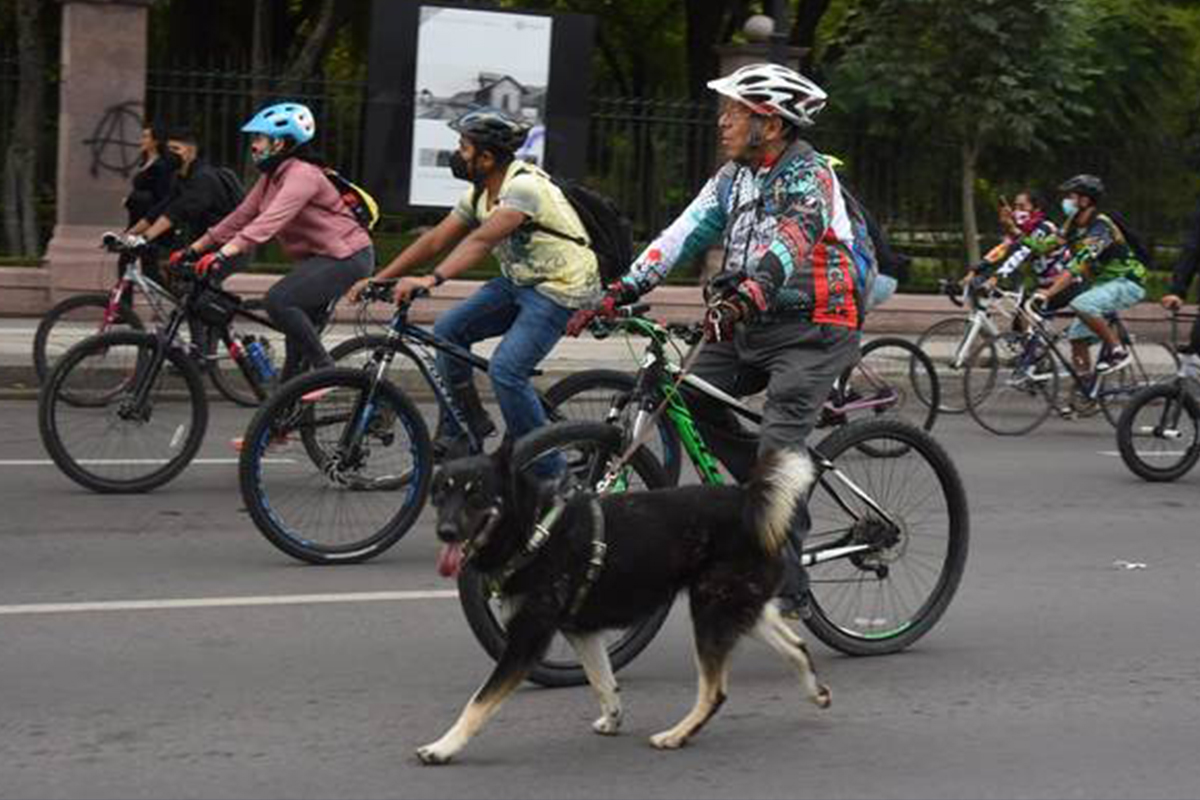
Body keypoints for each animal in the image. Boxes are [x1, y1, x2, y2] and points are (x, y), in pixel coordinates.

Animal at [417, 441, 830, 767]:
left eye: (475, 493)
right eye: (441, 493)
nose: (445, 532)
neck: (534, 527)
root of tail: (748, 499)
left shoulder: (525, 643)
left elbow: (477, 703)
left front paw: (443, 746)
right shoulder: (582, 631)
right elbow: (603, 682)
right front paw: (613, 718)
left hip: (710, 611)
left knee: (715, 692)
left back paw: (676, 734)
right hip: (734, 604)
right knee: (796, 645)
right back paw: (815, 691)